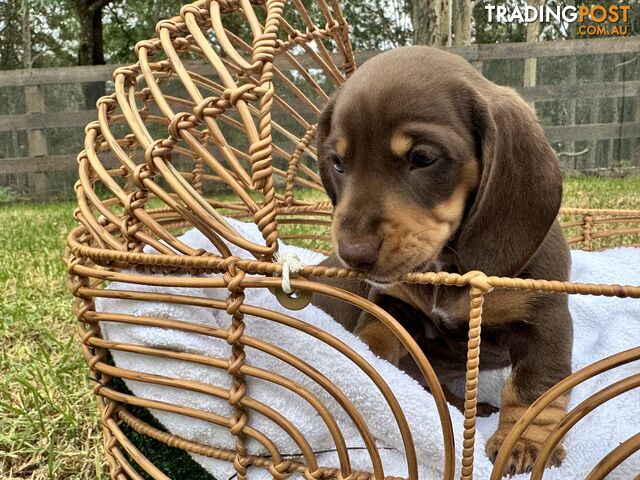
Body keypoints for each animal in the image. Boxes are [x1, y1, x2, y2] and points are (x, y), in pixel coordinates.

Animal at [312, 46, 572, 476]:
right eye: (337, 162)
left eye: (423, 157)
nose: (353, 254)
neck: (446, 265)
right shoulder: (394, 302)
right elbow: (376, 334)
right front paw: (365, 363)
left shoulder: (545, 322)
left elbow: (533, 388)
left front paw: (525, 442)